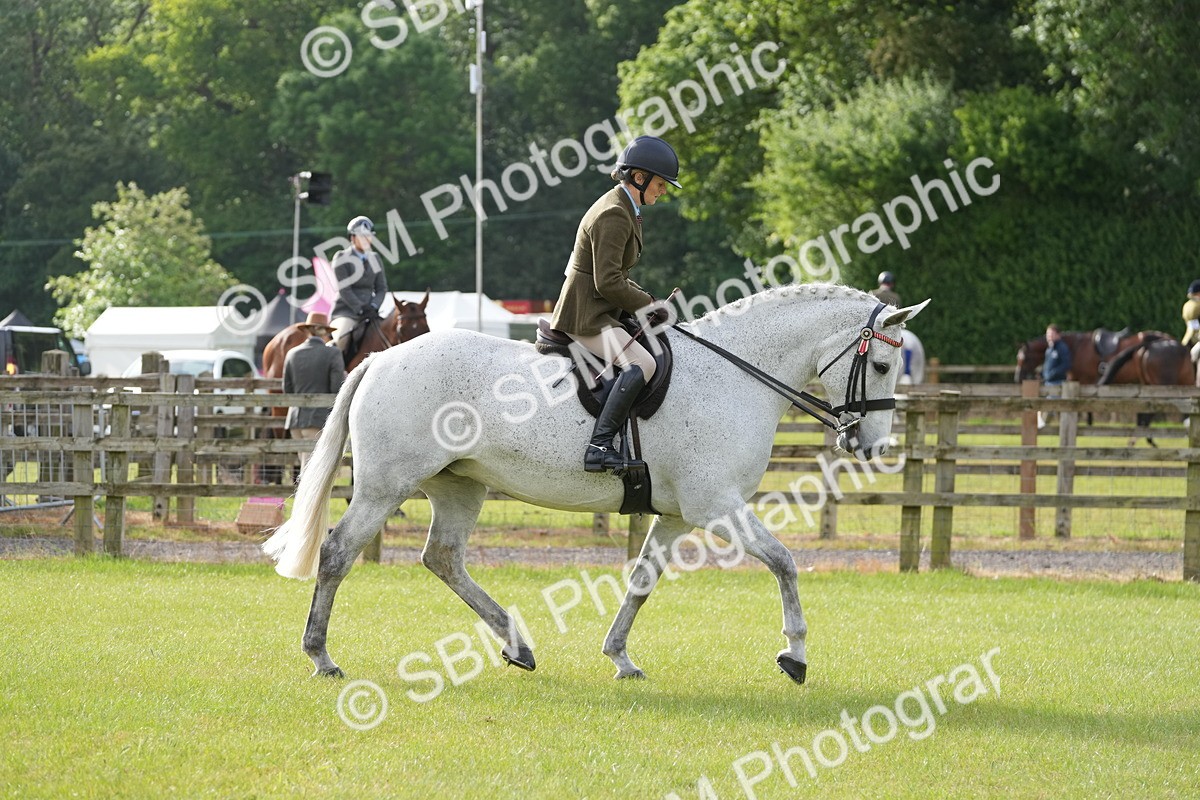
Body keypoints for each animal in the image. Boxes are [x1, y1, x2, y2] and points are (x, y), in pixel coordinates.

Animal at [263, 284, 929, 684]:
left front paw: (620, 657)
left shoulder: (679, 514)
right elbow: (786, 562)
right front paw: (795, 654)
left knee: (443, 558)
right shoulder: (717, 506)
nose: (872, 447)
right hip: (387, 485)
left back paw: (517, 645)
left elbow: (641, 580)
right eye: (881, 363)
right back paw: (321, 656)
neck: (736, 375)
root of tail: (382, 359)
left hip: (459, 486)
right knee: (338, 552)